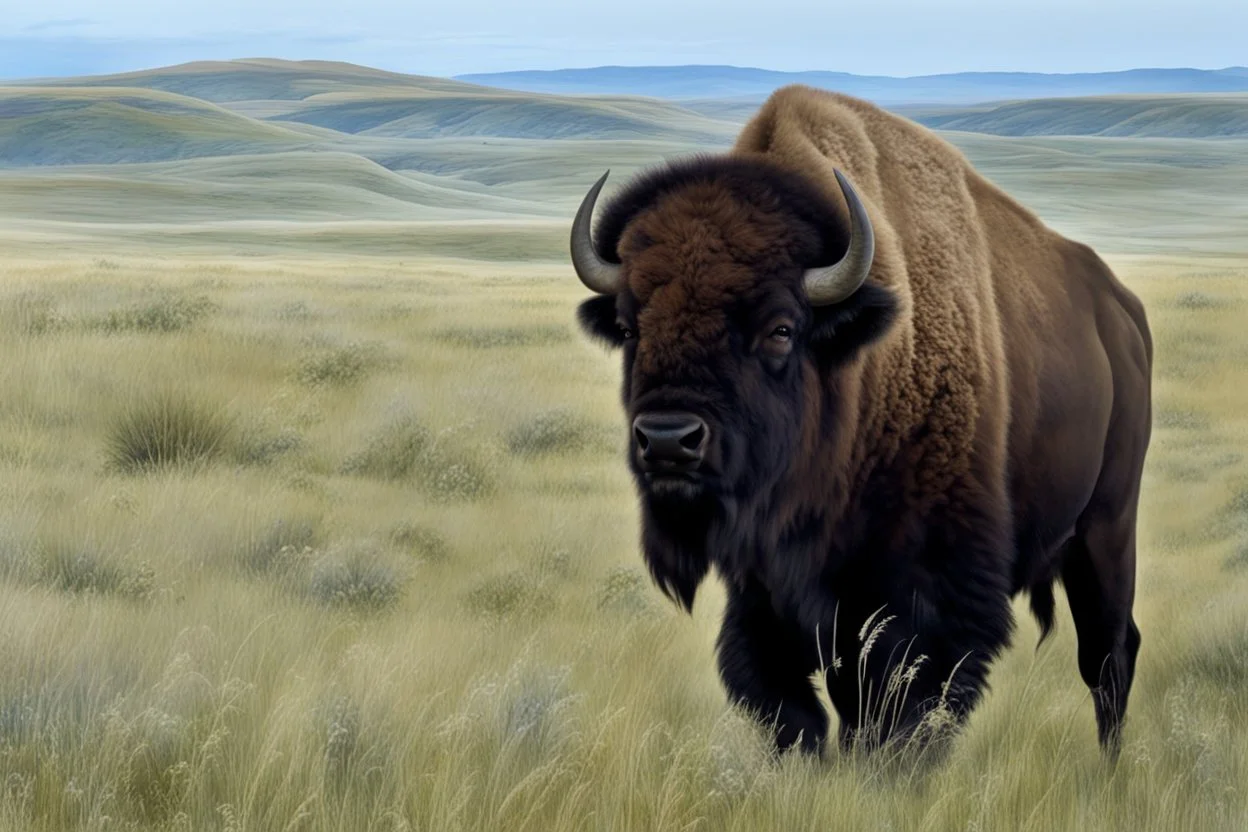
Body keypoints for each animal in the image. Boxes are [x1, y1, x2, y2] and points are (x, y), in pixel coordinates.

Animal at [566, 84, 1148, 753]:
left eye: (781, 328)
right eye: (630, 327)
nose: (667, 440)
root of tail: (1122, 312)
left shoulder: (923, 600)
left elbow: (894, 715)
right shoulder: (766, 599)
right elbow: (791, 708)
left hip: (1107, 525)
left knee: (1108, 654)